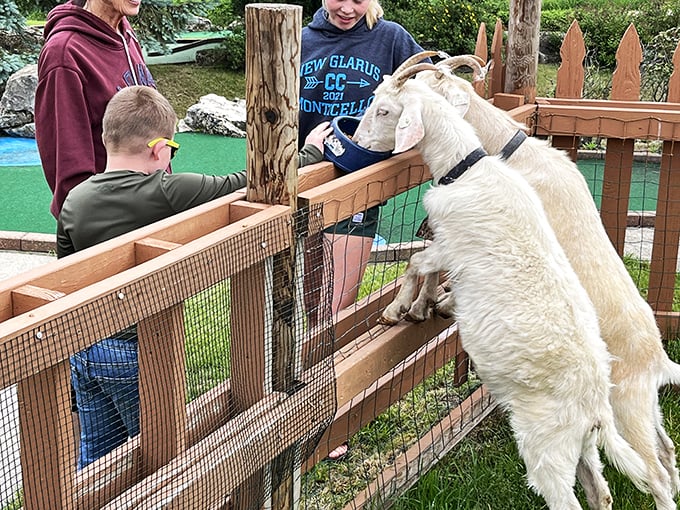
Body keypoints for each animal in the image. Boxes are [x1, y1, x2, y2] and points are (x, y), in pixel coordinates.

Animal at [354, 63, 652, 510]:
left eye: (385, 110)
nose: (356, 141)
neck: (471, 168)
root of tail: (596, 407)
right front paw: (425, 305)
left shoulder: (451, 247)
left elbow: (416, 261)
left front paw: (399, 309)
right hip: (584, 446)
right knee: (602, 491)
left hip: (548, 445)